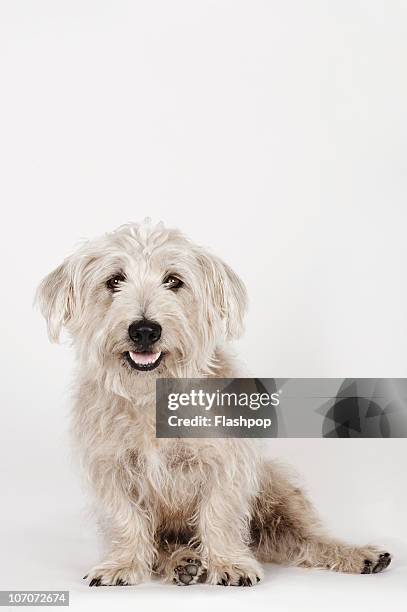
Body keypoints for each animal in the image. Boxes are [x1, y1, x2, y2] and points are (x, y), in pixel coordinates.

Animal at [37, 221, 392, 588]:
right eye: (114, 281)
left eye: (173, 280)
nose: (145, 330)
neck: (152, 395)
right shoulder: (110, 469)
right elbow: (125, 518)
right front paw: (122, 564)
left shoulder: (226, 463)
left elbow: (219, 513)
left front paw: (228, 563)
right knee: (165, 547)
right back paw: (183, 562)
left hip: (277, 490)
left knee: (305, 540)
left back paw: (359, 555)